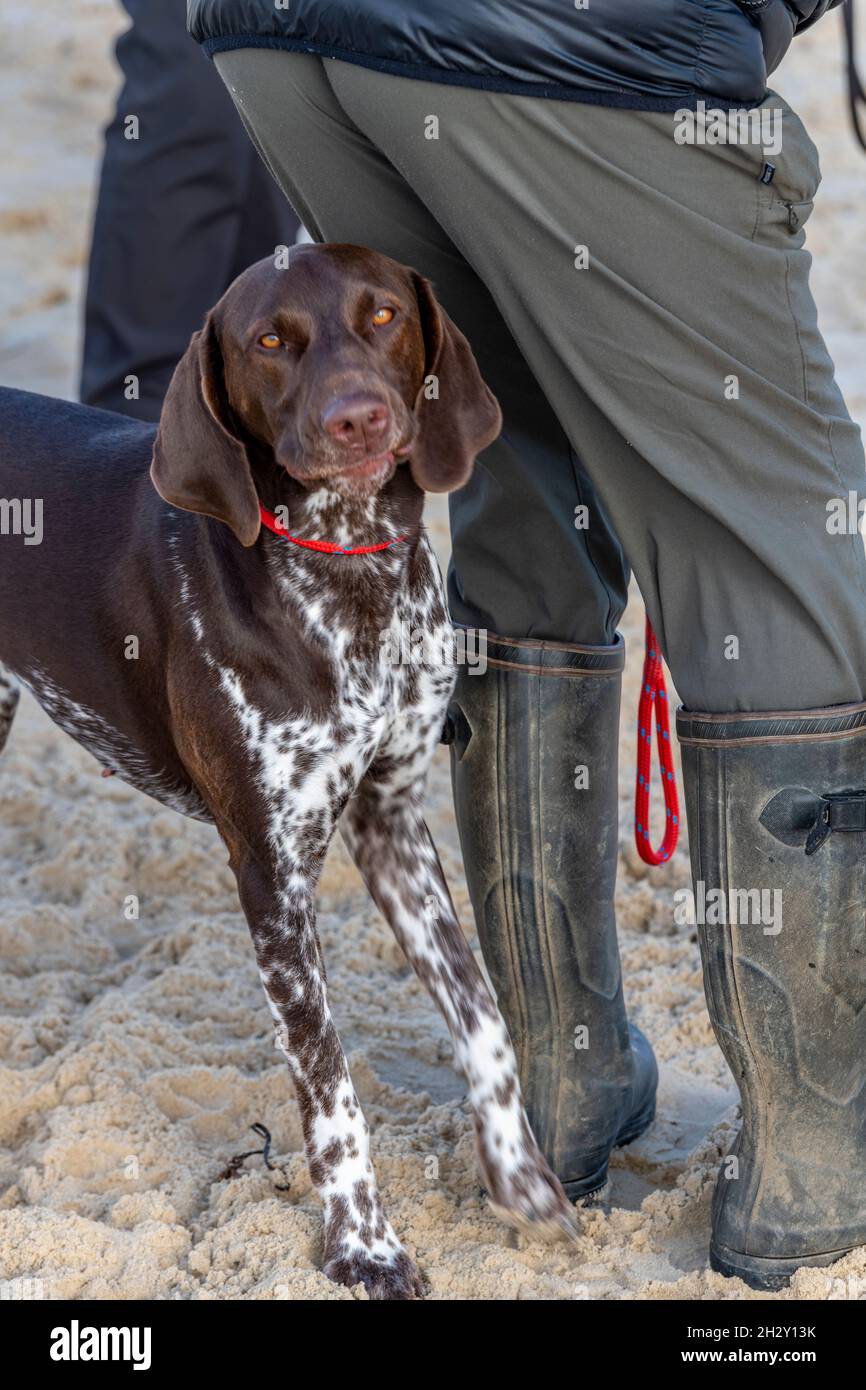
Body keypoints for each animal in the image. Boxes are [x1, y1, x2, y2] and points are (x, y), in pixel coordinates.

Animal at [0, 244, 575, 1295]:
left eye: (383, 315)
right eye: (271, 341)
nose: (361, 419)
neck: (348, 576)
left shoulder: (391, 821)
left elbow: (483, 1017)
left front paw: (520, 1178)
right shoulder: (271, 872)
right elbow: (327, 1079)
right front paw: (364, 1246)